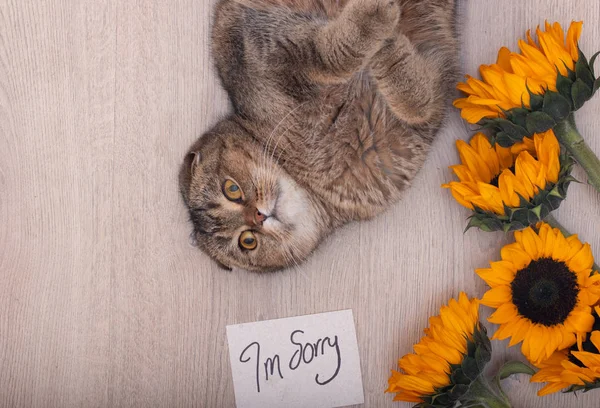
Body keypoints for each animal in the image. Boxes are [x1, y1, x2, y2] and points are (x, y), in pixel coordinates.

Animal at [179, 0, 460, 274]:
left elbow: (326, 54)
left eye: (231, 189)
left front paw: (376, 27)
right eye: (248, 241)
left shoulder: (269, 46)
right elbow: (417, 103)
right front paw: (388, 46)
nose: (259, 216)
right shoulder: (426, 116)